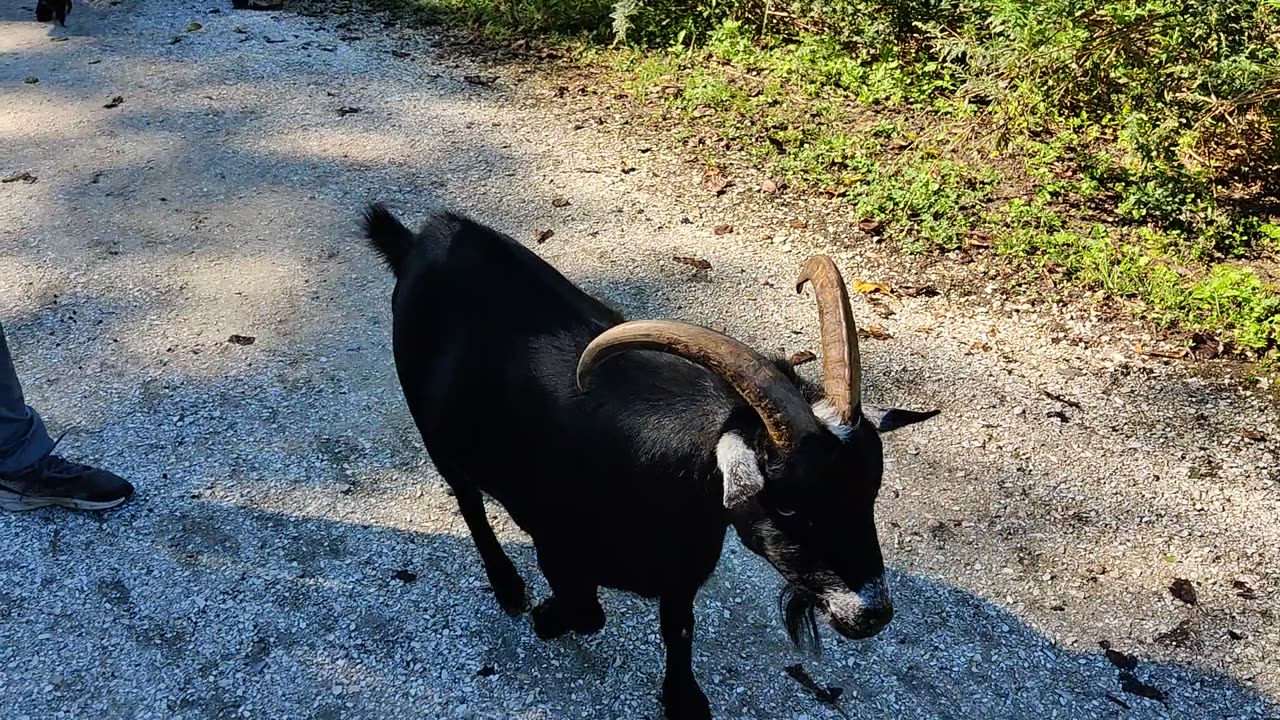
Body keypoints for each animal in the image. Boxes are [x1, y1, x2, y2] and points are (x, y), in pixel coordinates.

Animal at [360, 203, 931, 717]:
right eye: (787, 505)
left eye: (871, 489)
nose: (873, 614)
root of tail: (423, 238)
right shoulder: (555, 545)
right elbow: (588, 613)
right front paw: (546, 618)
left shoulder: (682, 573)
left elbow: (678, 631)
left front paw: (683, 700)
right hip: (435, 432)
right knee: (468, 500)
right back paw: (509, 588)